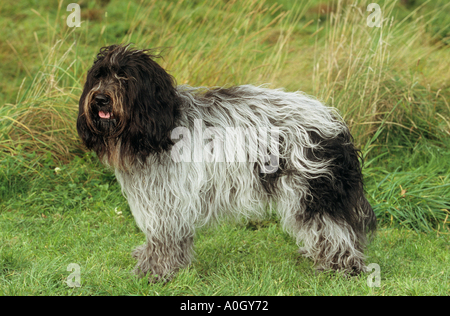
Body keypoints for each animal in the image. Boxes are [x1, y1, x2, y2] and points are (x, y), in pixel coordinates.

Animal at [76, 43, 376, 282]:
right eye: (99, 76)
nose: (100, 99)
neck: (161, 123)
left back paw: (343, 266)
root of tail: (335, 122)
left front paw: (155, 271)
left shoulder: (166, 200)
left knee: (333, 229)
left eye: (124, 76)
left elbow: (163, 238)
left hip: (310, 189)